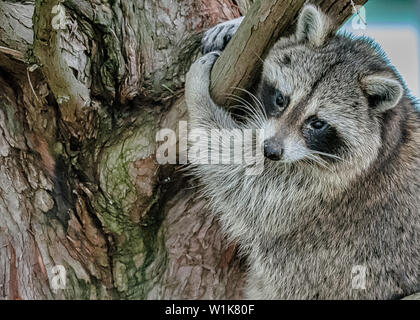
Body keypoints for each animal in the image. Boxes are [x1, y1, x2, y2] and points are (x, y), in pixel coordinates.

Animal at [186, 4, 420, 300]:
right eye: (280, 99)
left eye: (317, 123)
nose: (270, 150)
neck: (389, 131)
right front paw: (238, 24)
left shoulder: (317, 192)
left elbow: (241, 179)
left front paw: (198, 98)